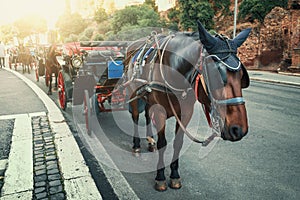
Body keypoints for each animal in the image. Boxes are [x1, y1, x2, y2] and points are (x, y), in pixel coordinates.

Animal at [120, 21, 252, 191]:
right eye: (216, 75)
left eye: (242, 76)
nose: (239, 129)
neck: (174, 70)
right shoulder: (160, 111)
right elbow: (163, 143)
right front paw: (160, 177)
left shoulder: (186, 113)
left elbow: (178, 143)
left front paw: (175, 175)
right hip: (133, 93)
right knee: (136, 117)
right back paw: (136, 145)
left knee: (147, 114)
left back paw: (150, 140)